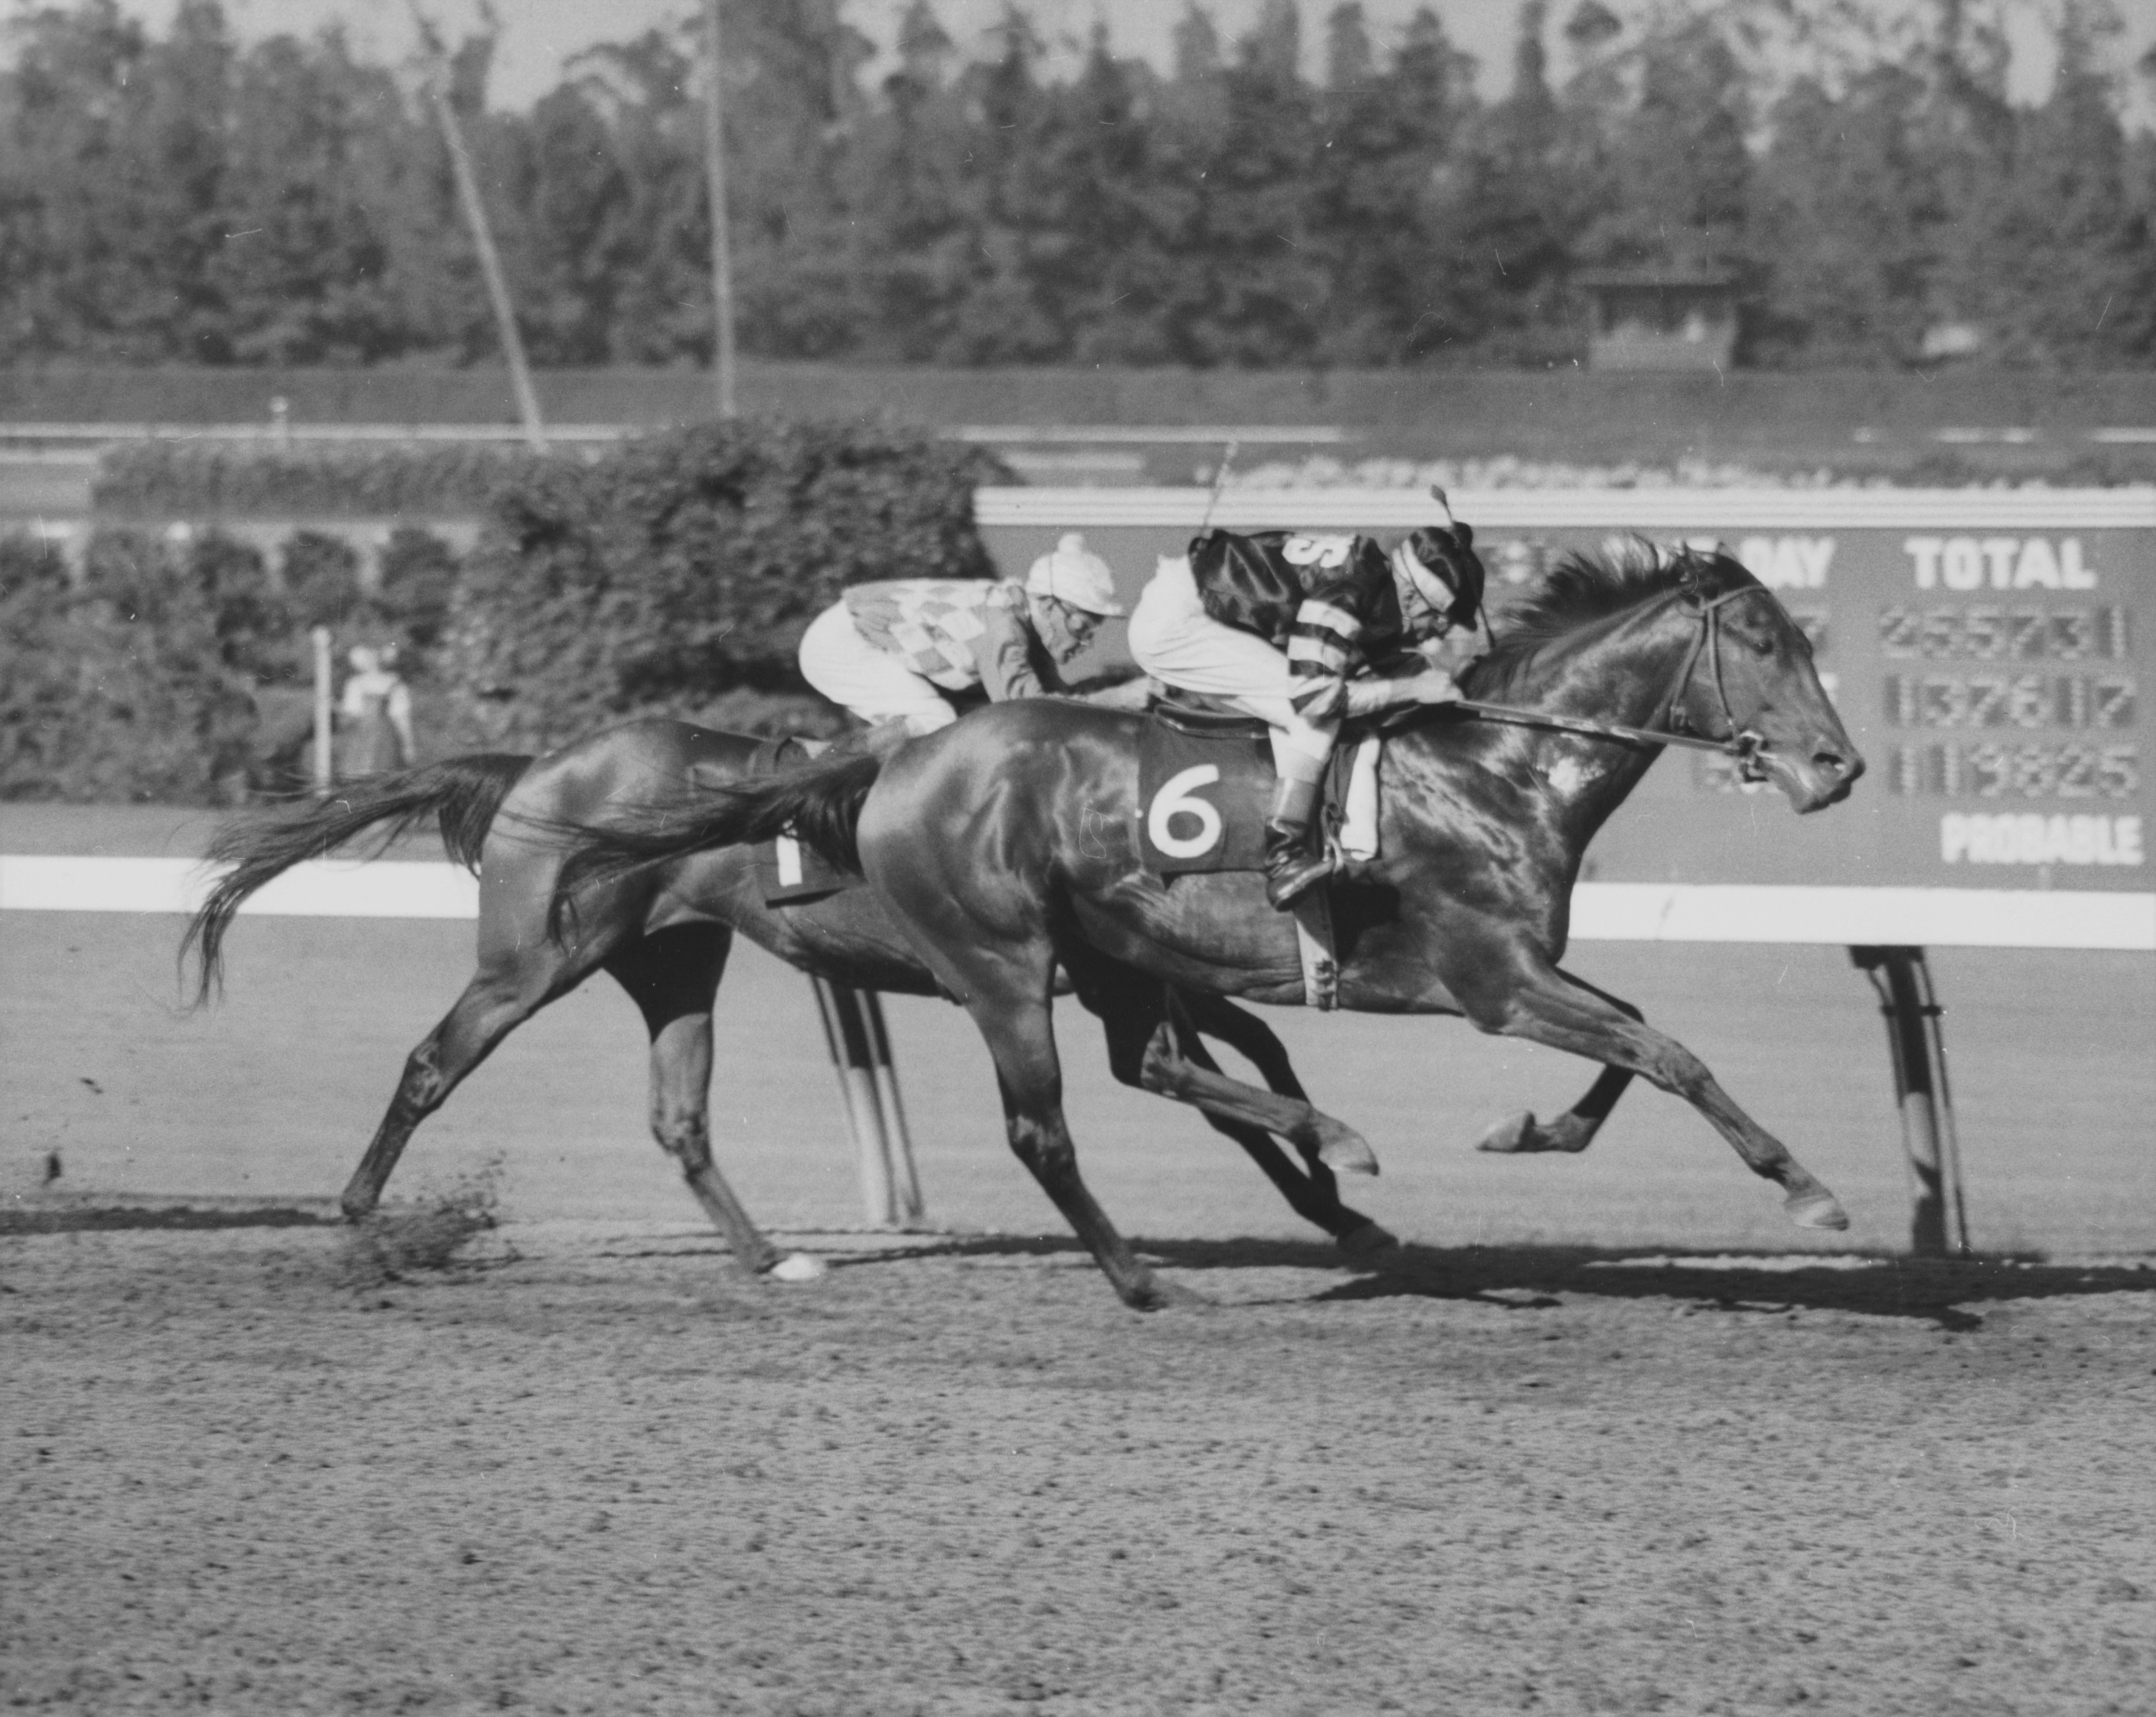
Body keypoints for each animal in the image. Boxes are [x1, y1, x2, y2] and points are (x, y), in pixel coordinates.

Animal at [194, 711, 1388, 1275]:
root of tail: (537, 765)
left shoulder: (1137, 979)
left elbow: (1253, 1062)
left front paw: (1340, 1203)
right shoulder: (1112, 981)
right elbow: (1228, 1087)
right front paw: (1336, 1191)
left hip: (675, 962)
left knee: (678, 1114)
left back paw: (772, 1254)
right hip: (534, 959)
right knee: (434, 1059)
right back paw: (359, 1214)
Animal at [556, 543, 1871, 1309]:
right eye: (1762, 640)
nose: (1839, 766)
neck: (1498, 766)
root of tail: (896, 762)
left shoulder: (1518, 972)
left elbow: (1636, 1040)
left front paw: (1527, 1130)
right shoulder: (1494, 983)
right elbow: (1666, 1051)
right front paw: (1807, 1188)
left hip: (1106, 956)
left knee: (1154, 1064)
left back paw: (1327, 1152)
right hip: (1000, 962)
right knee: (1043, 1130)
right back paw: (1158, 1276)